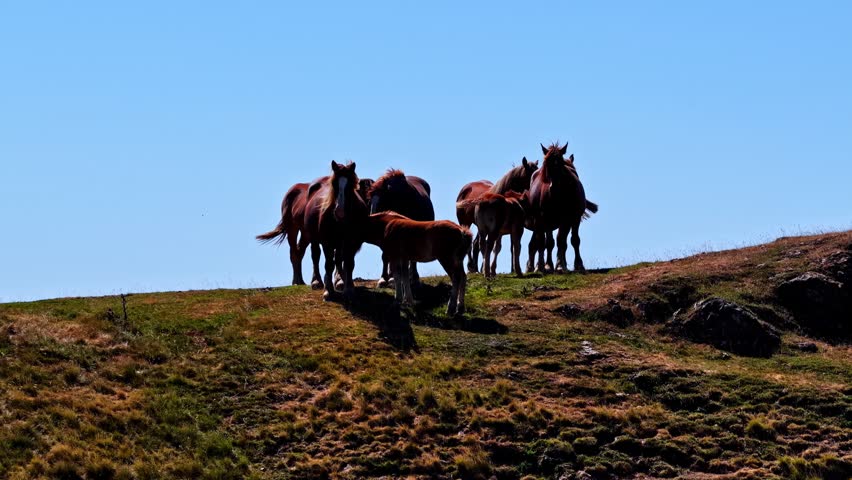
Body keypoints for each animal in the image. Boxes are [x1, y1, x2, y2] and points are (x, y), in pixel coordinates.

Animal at [526, 143, 596, 274]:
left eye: (560, 163)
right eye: (546, 163)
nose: (553, 187)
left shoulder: (569, 219)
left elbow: (567, 241)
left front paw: (563, 265)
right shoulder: (541, 219)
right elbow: (543, 242)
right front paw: (541, 266)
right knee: (546, 242)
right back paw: (545, 265)